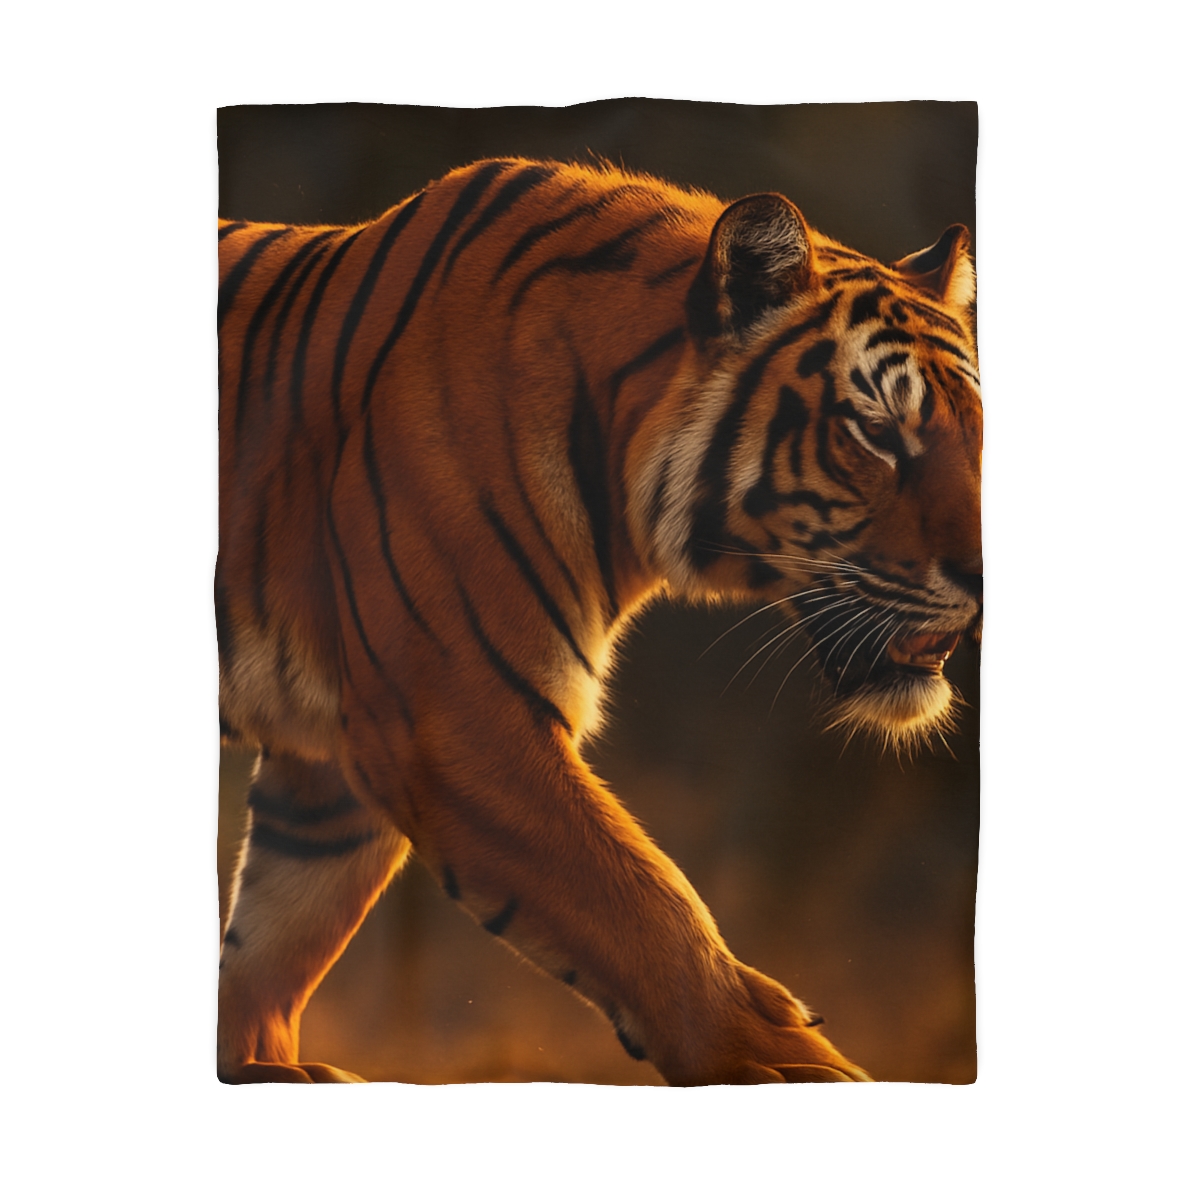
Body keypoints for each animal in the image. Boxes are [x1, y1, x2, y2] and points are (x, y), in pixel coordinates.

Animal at [217, 156, 982, 1085]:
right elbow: (644, 903)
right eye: (875, 432)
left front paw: (260, 1063)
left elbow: (275, 938)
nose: (986, 578)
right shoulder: (459, 720)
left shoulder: (329, 766)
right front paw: (785, 1064)